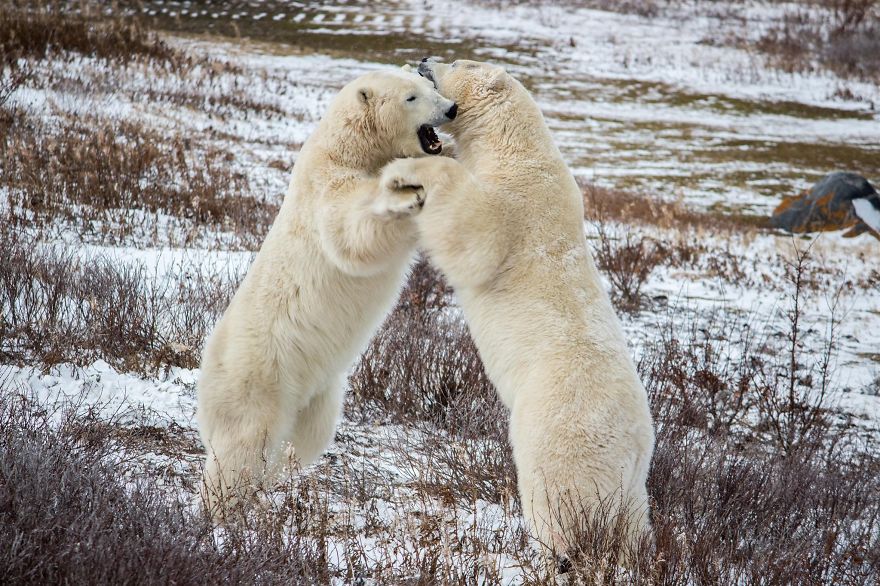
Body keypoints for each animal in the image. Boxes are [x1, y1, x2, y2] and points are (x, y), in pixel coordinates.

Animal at [196, 68, 457, 517]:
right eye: (411, 97)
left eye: (431, 87)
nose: (452, 109)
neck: (348, 147)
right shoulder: (325, 187)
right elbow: (351, 232)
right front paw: (402, 194)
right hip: (257, 381)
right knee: (240, 450)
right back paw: (221, 510)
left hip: (322, 392)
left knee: (305, 440)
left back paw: (276, 476)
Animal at [379, 58, 655, 565]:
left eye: (459, 62)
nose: (425, 60)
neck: (517, 147)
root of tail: (633, 448)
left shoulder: (517, 203)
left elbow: (473, 235)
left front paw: (409, 168)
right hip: (632, 487)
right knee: (632, 521)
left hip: (558, 429)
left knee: (557, 498)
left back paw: (551, 553)